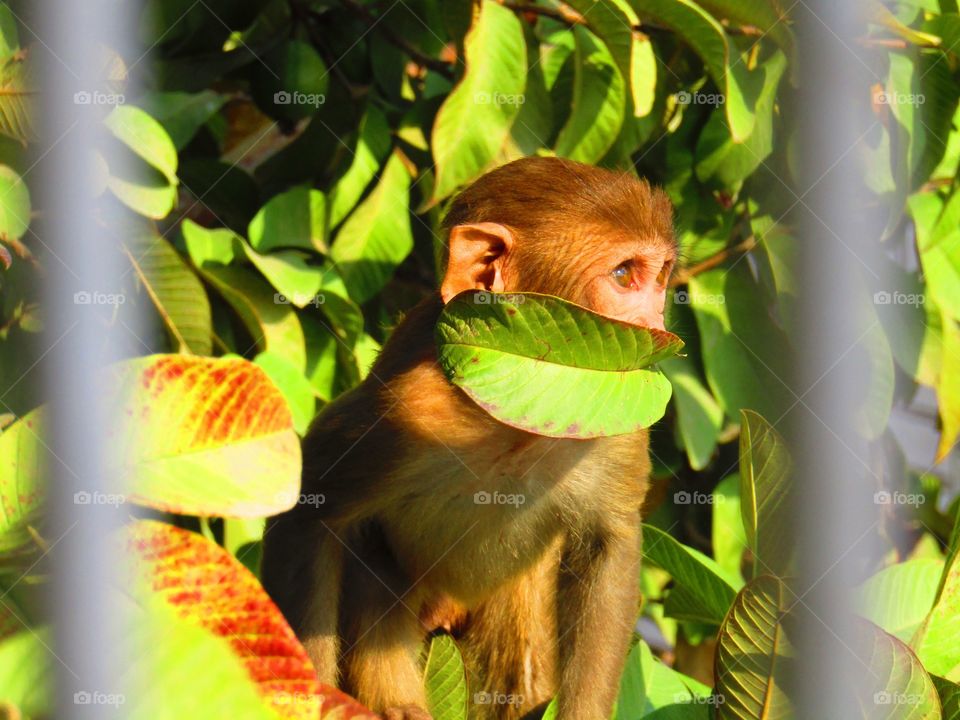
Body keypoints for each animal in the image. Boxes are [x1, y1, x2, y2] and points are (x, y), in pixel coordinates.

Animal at [261, 156, 677, 720]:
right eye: (623, 275)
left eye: (660, 278)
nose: (657, 325)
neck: (515, 410)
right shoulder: (403, 414)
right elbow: (307, 513)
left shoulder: (616, 415)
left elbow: (609, 542)